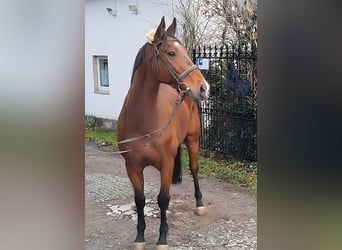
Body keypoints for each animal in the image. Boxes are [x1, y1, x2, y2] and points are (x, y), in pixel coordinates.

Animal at [117, 16, 208, 249]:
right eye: (171, 53)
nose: (204, 88)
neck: (143, 122)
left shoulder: (166, 164)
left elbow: (162, 199)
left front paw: (162, 238)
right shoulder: (132, 167)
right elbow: (140, 200)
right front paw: (140, 237)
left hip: (193, 141)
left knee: (194, 169)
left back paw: (200, 204)